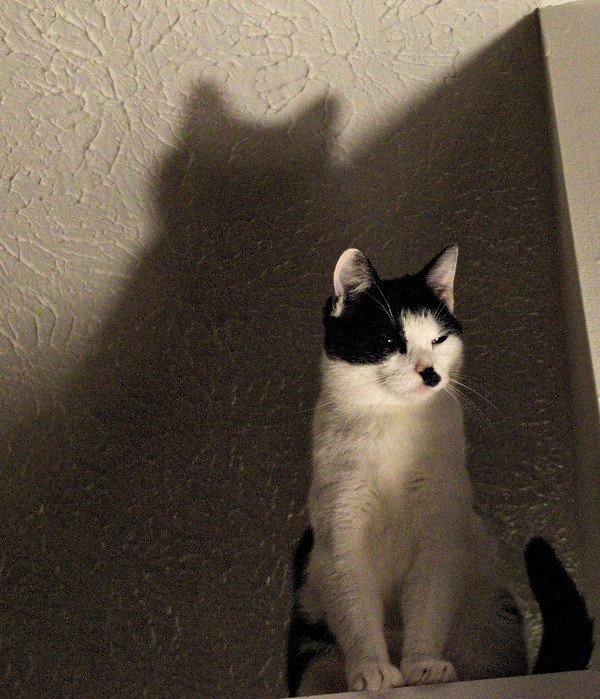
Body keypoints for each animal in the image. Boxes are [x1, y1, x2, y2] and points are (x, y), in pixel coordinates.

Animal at [286, 246, 594, 696]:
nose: (429, 372)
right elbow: (356, 611)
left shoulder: (439, 537)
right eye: (391, 340)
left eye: (439, 339)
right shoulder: (341, 538)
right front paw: (371, 672)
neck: (397, 427)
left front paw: (424, 666)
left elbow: (427, 606)